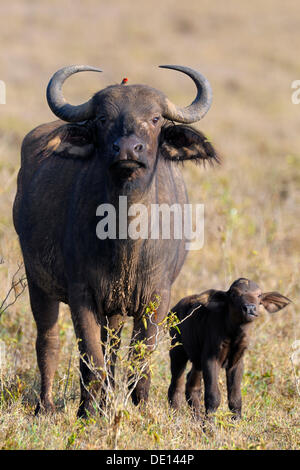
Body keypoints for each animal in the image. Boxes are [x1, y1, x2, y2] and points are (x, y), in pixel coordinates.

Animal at [13, 64, 218, 416]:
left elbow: (139, 361)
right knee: (49, 341)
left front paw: (141, 409)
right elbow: (90, 358)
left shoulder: (156, 298)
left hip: (116, 309)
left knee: (113, 348)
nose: (127, 150)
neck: (125, 238)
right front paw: (86, 412)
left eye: (155, 118)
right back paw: (46, 405)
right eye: (103, 118)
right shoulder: (81, 294)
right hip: (38, 281)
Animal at [168, 278, 290, 420]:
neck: (233, 332)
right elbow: (213, 396)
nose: (250, 308)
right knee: (176, 384)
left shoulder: (236, 362)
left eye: (259, 295)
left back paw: (196, 418)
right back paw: (175, 415)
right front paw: (209, 424)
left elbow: (235, 398)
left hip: (197, 360)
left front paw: (236, 421)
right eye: (234, 294)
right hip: (177, 350)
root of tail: (173, 310)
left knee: (192, 385)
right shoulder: (211, 359)